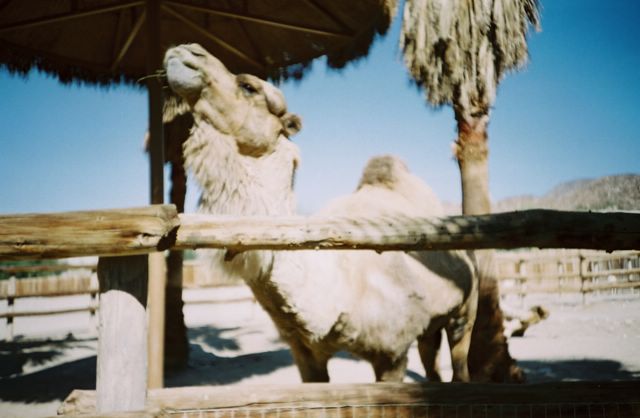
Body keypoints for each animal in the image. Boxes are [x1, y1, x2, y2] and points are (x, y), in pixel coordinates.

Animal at [162, 43, 478, 382]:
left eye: (249, 86)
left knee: (460, 361)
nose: (186, 50)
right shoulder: (305, 353)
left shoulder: (392, 353)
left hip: (464, 311)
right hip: (432, 323)